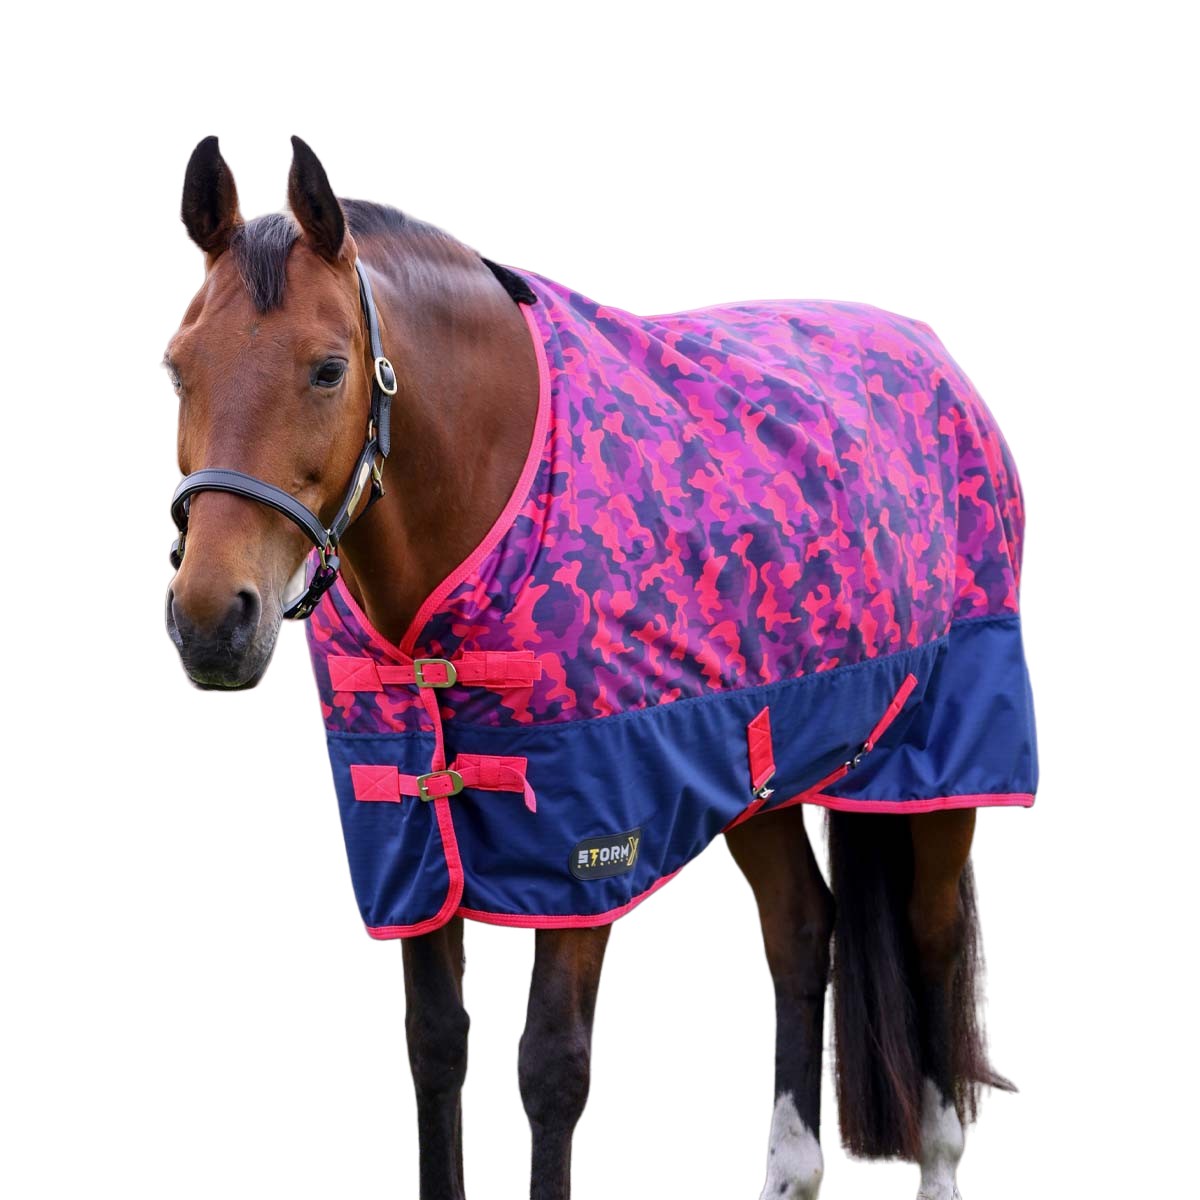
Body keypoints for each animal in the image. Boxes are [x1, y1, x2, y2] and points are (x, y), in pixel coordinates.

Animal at [164, 136, 1035, 1200]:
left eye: (329, 370)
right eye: (178, 371)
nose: (212, 620)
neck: (501, 490)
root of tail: (935, 358)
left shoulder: (589, 851)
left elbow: (550, 1068)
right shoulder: (417, 850)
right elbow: (434, 1046)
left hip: (946, 762)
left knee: (931, 935)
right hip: (759, 761)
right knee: (801, 931)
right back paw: (789, 1171)